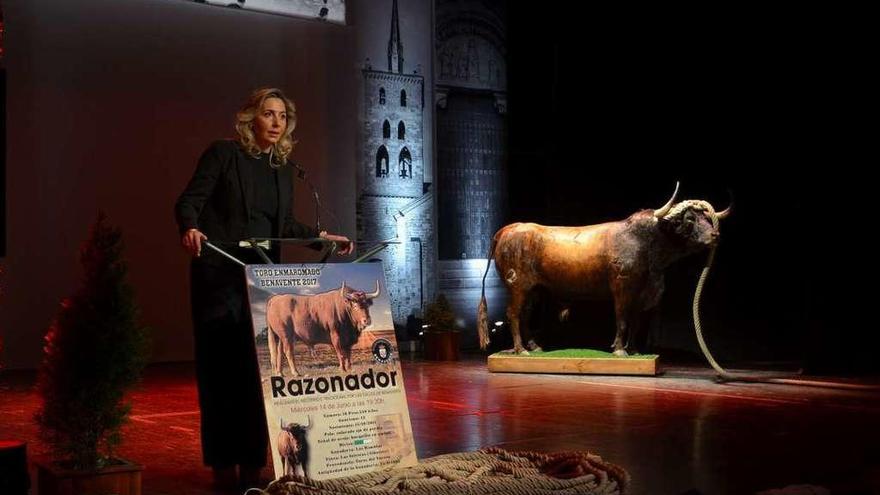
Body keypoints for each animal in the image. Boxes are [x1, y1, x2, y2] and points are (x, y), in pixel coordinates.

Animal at [478, 182, 732, 356]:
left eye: (706, 217)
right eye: (689, 219)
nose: (715, 235)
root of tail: (508, 229)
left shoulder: (640, 292)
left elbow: (635, 320)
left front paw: (634, 350)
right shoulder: (622, 287)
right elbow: (621, 317)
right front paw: (619, 349)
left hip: (534, 290)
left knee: (525, 315)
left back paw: (534, 347)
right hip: (518, 286)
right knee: (513, 314)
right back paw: (520, 349)